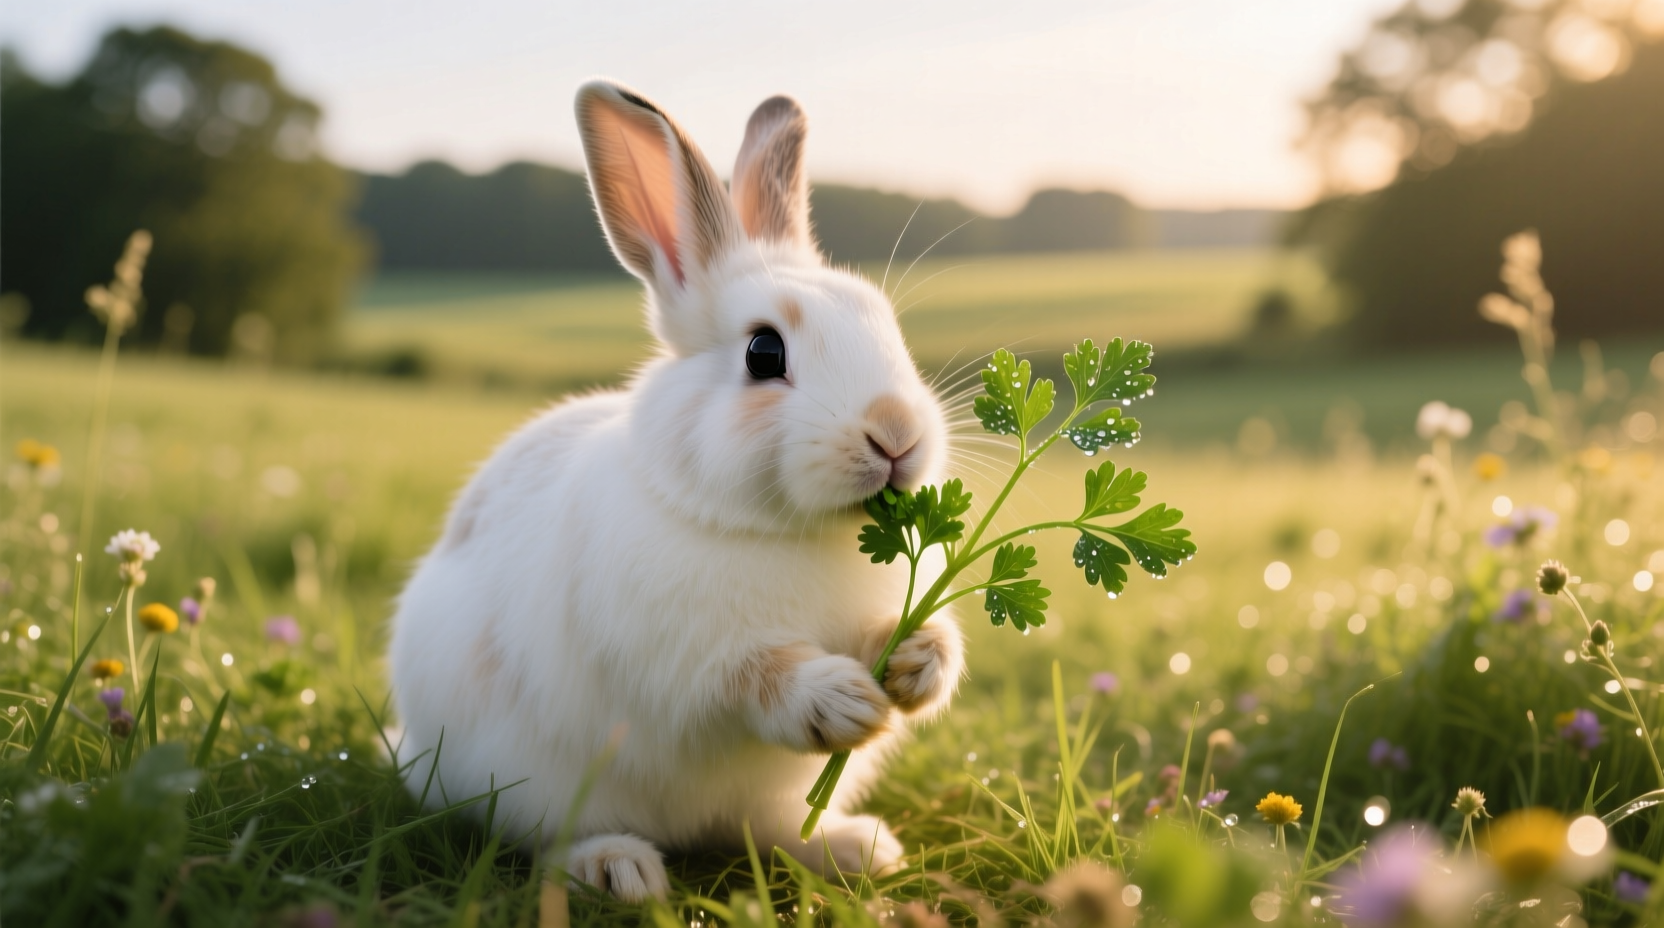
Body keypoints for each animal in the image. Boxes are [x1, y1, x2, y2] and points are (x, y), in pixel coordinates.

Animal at [388, 78, 964, 903]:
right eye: (764, 352)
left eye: (887, 327)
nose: (895, 434)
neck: (781, 530)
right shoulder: (678, 656)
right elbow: (750, 676)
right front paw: (840, 699)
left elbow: (905, 635)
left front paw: (917, 664)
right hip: (531, 778)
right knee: (547, 837)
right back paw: (618, 869)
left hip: (767, 802)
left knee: (775, 830)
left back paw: (858, 848)